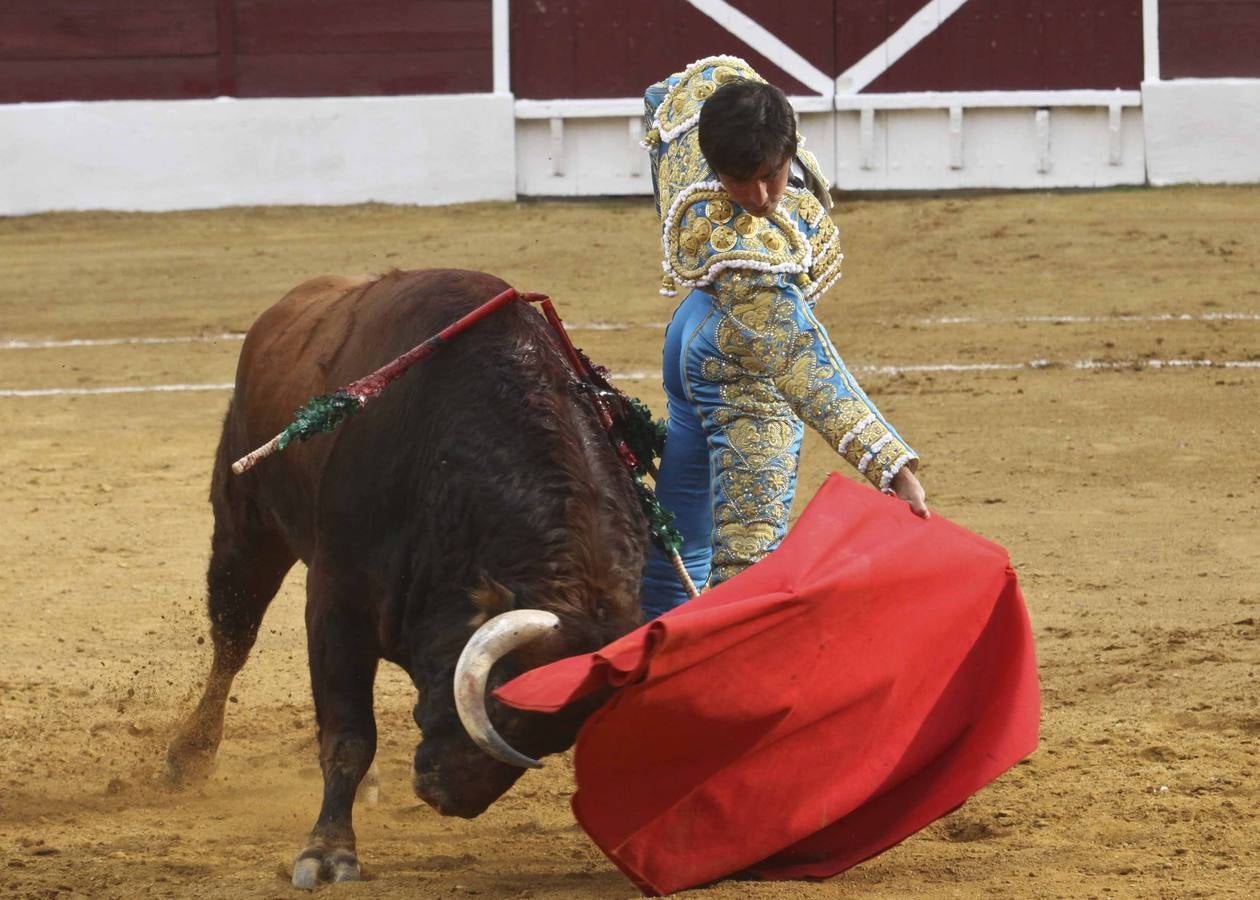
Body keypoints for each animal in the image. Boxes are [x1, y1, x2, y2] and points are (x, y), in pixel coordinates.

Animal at [161, 265, 645, 882]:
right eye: (501, 713)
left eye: (560, 739)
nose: (448, 798)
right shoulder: (336, 604)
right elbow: (348, 735)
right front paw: (328, 852)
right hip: (245, 527)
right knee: (232, 641)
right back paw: (187, 758)